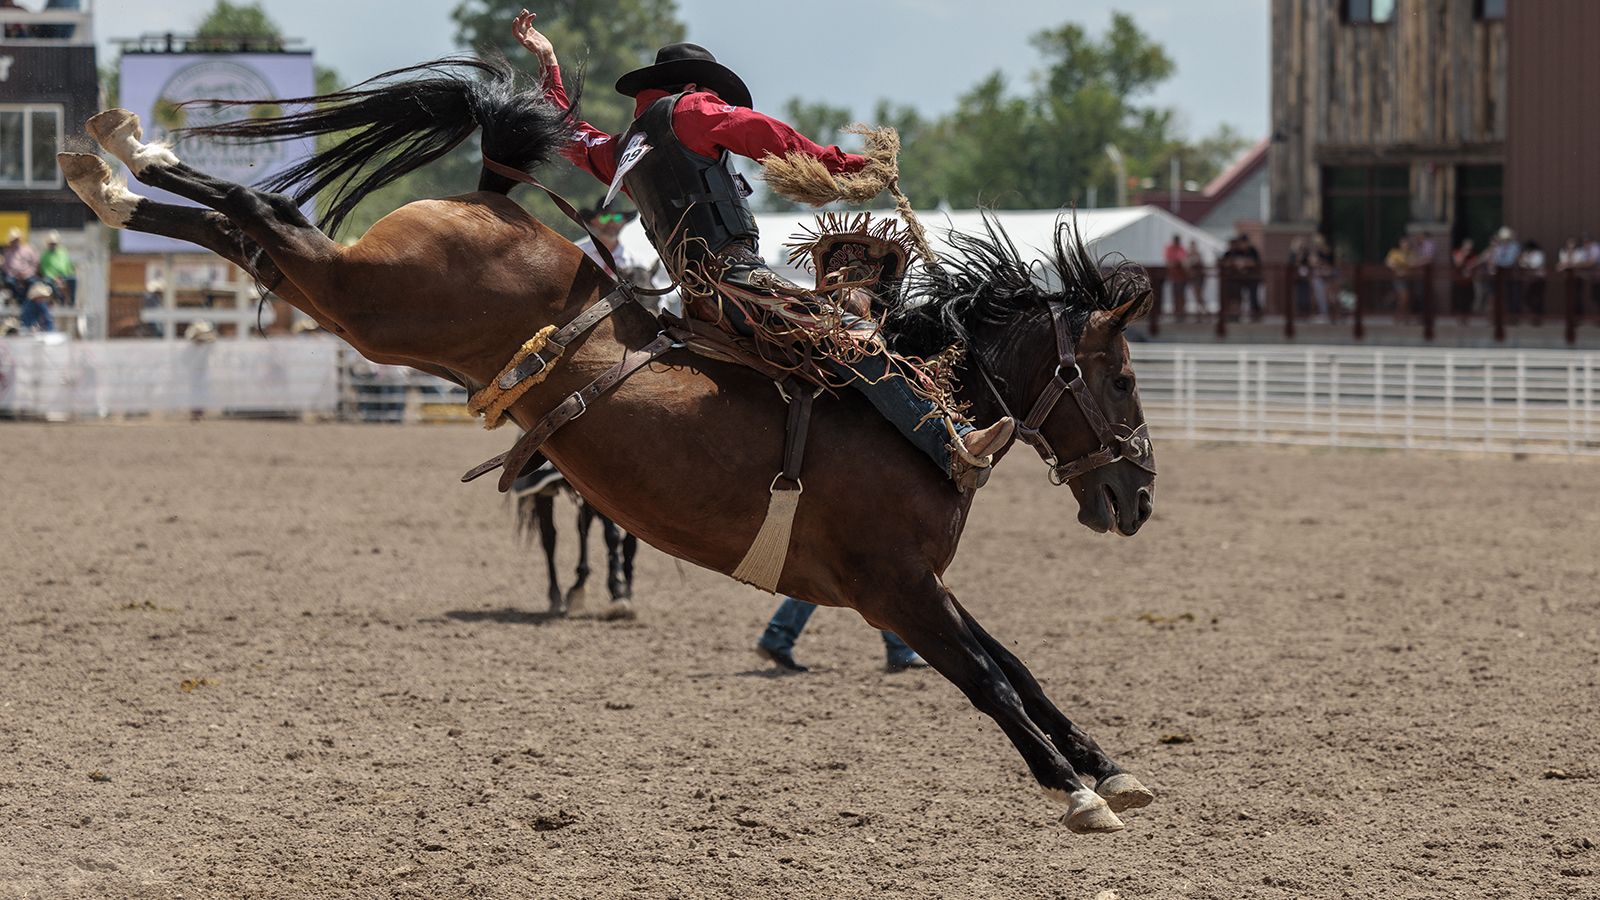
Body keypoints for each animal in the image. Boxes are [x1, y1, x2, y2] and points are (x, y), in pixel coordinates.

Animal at [59, 54, 1164, 826]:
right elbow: (986, 679)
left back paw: (110, 172)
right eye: (1119, 377)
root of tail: (491, 195)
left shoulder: (919, 587)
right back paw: (129, 158)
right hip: (374, 299)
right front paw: (1077, 794)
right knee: (264, 212)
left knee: (255, 235)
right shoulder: (893, 585)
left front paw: (1110, 767)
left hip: (366, 308)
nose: (1138, 498)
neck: (922, 407)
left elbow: (1014, 663)